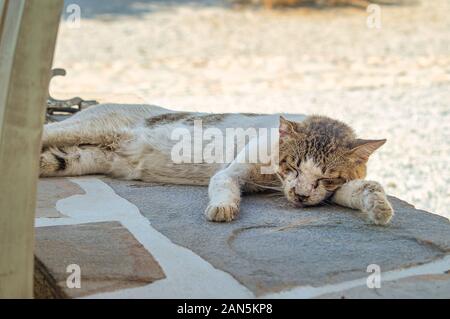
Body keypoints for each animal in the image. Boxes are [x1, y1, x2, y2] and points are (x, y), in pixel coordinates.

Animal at [41, 104, 394, 226]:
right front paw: (223, 208)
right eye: (292, 167)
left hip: (80, 159)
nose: (302, 195)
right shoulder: (233, 171)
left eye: (325, 179)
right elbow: (224, 185)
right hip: (82, 128)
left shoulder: (333, 192)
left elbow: (364, 187)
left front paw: (379, 208)